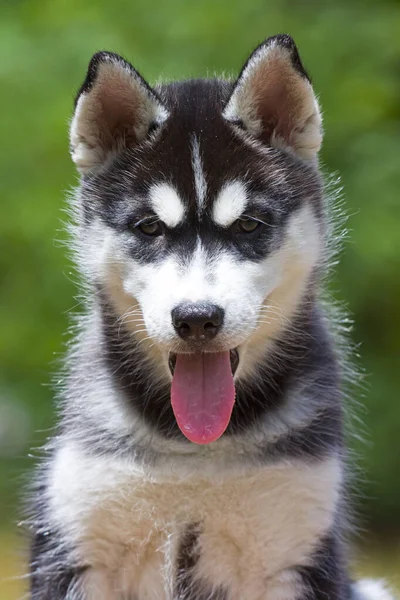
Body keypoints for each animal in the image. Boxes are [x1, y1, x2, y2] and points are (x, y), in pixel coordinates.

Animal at [28, 34, 394, 600]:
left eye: (248, 225)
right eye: (149, 227)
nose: (197, 319)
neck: (195, 450)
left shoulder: (295, 546)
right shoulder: (77, 545)